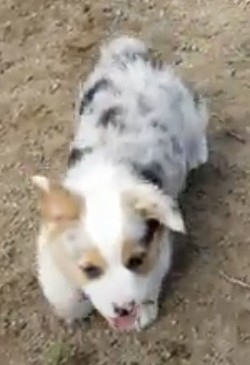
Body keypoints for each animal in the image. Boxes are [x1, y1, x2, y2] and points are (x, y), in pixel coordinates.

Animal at [33, 37, 209, 330]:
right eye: (90, 269)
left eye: (135, 260)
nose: (124, 309)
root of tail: (130, 56)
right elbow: (63, 293)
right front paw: (74, 307)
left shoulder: (157, 243)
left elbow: (151, 277)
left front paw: (144, 311)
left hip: (188, 112)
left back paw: (197, 154)